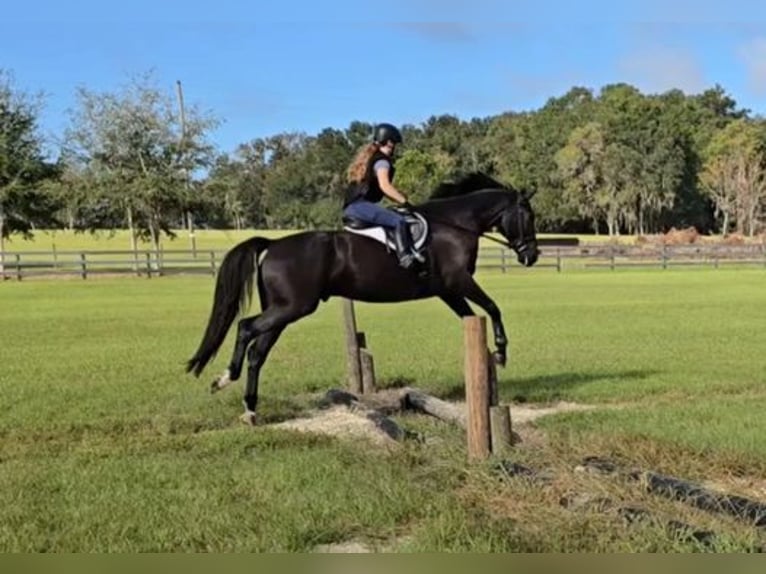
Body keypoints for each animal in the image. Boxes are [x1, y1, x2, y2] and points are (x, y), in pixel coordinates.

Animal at [186, 171, 540, 424]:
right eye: (529, 216)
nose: (532, 256)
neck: (455, 225)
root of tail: (272, 245)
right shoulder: (459, 281)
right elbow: (493, 307)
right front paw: (501, 352)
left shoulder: (448, 291)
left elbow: (471, 317)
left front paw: (489, 362)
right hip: (292, 307)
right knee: (246, 328)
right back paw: (225, 379)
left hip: (283, 310)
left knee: (258, 352)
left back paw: (250, 409)